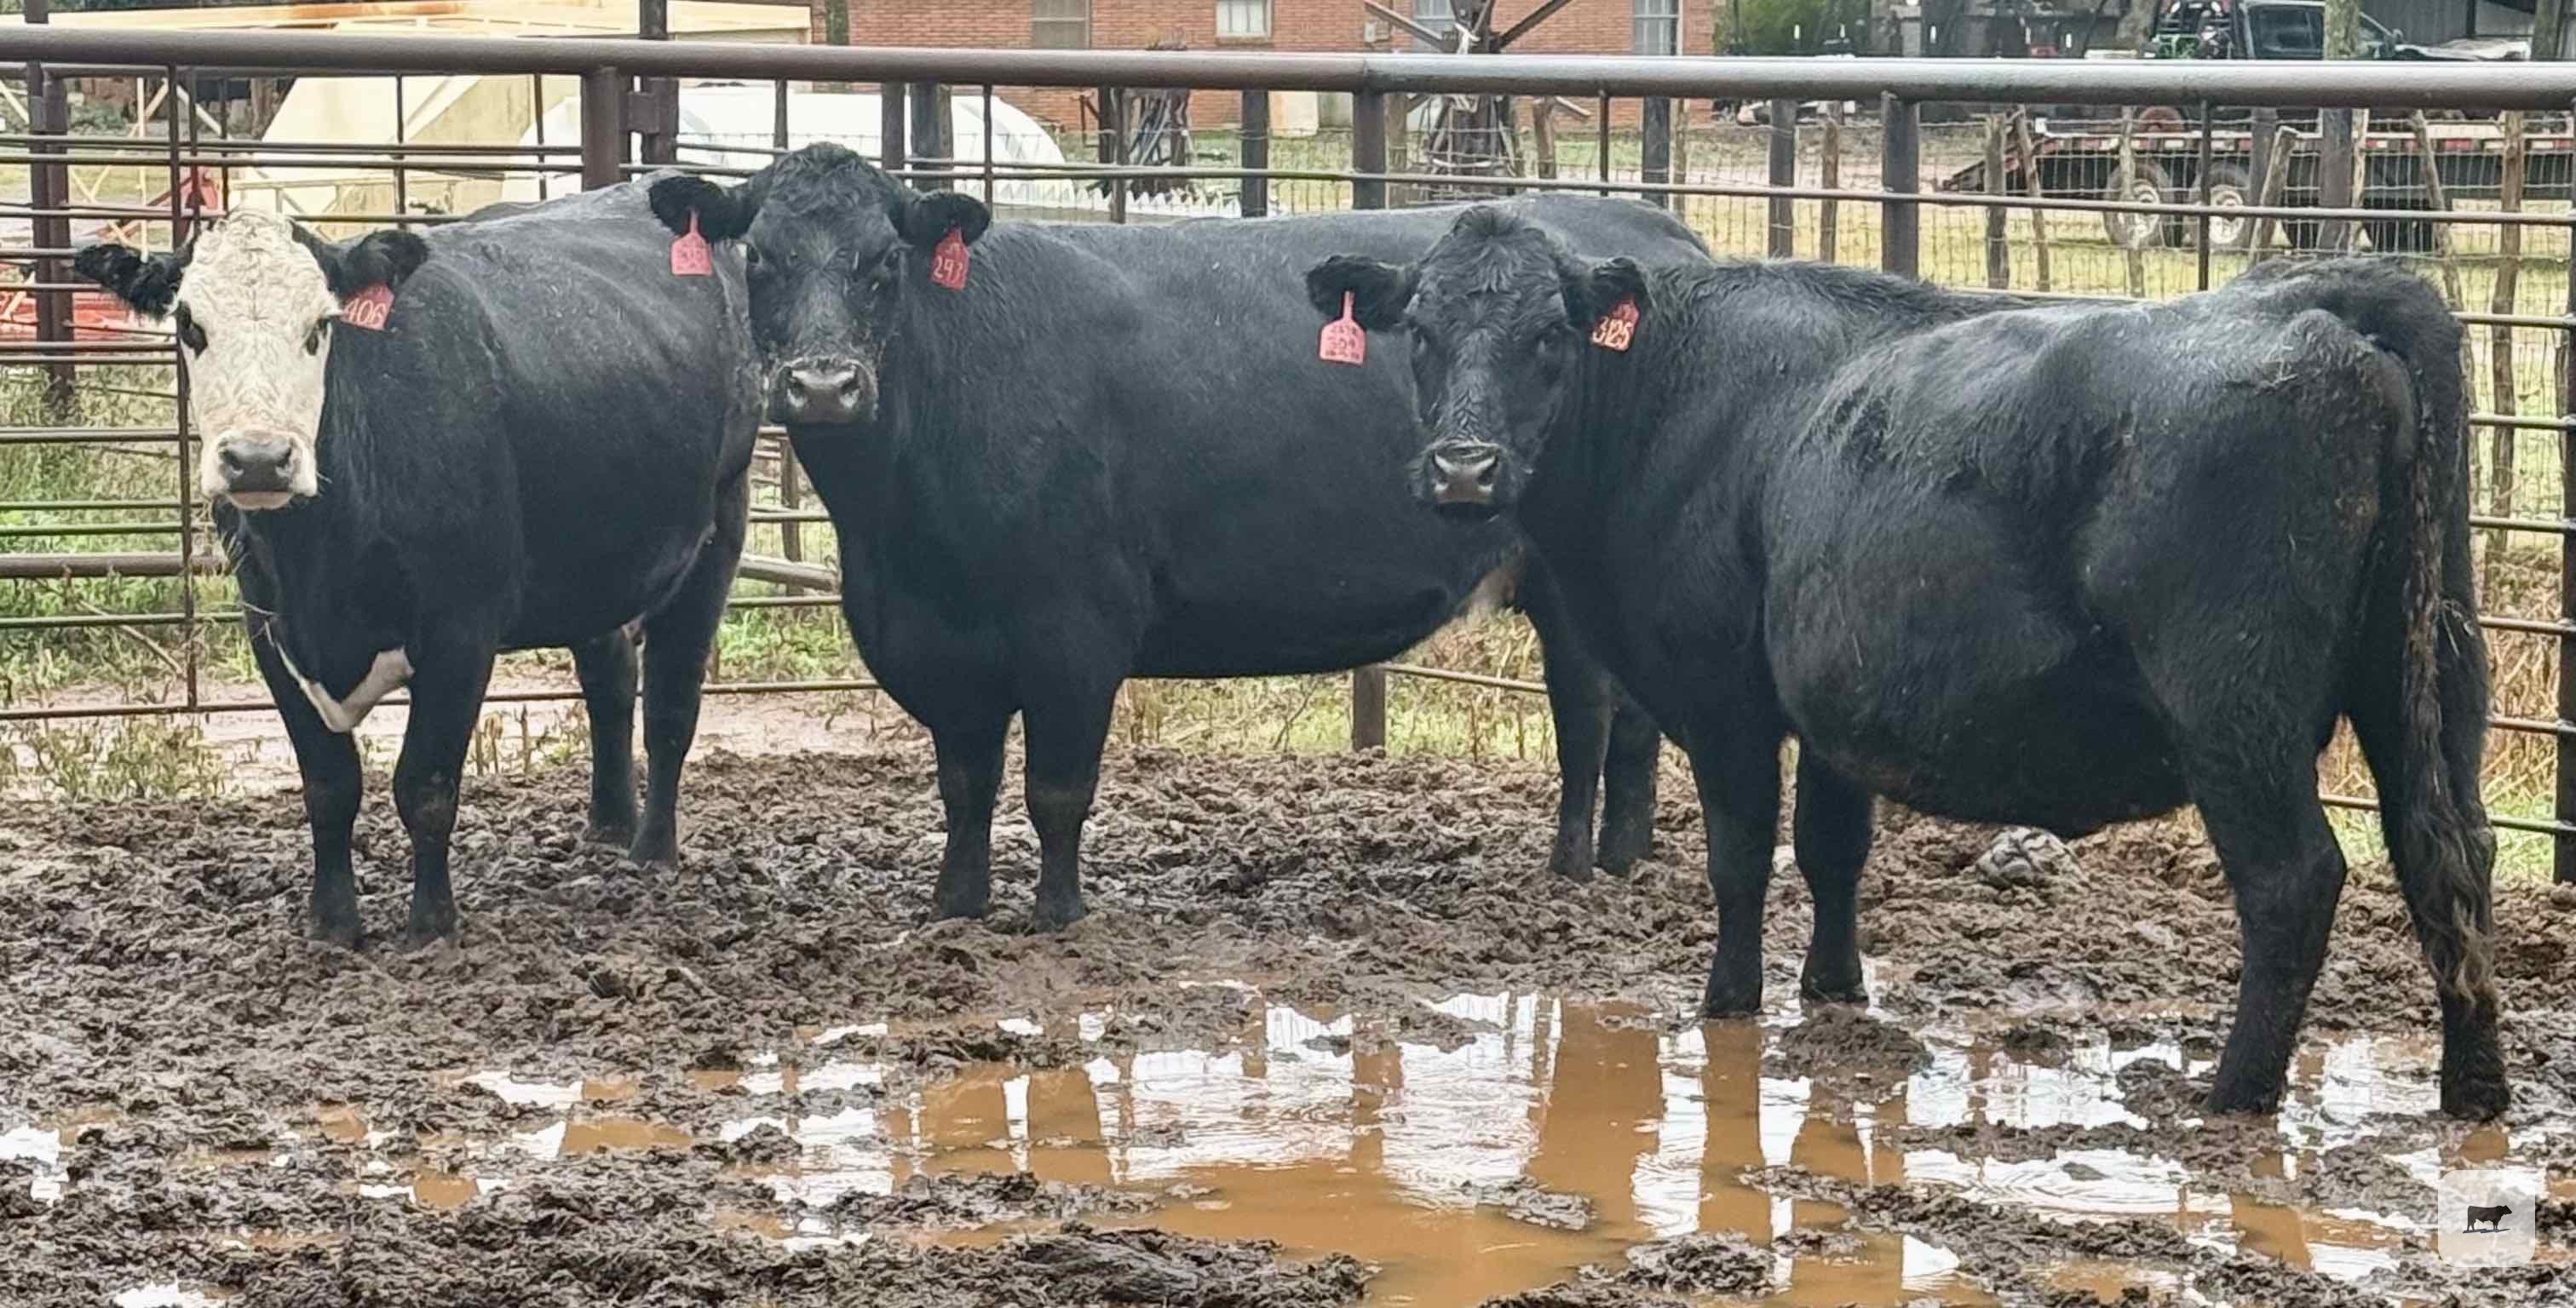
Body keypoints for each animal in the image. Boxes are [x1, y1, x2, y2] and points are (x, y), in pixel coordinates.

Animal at [72, 180, 759, 947]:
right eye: (191, 325)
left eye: (320, 327)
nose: (257, 458)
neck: (321, 557)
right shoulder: (269, 627)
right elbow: (329, 785)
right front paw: (332, 923)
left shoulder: (461, 630)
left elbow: (425, 785)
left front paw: (432, 925)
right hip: (594, 560)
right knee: (610, 679)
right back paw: (609, 827)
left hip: (717, 530)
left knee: (671, 703)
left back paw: (652, 851)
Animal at [643, 144, 1707, 928]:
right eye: (761, 259)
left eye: (883, 263)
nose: (823, 386)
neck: (899, 535)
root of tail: (1655, 227)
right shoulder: (934, 642)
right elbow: (965, 783)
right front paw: (955, 906)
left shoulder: (1076, 627)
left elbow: (1056, 789)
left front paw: (1059, 914)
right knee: (1632, 719)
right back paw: (1627, 856)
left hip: (1567, 586)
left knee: (1588, 716)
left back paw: (1574, 866)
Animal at [1307, 206, 2504, 1119]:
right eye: (1421, 332)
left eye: (1551, 336)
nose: (1464, 469)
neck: (1669, 404)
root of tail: (2321, 297)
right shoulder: (1834, 705)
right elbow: (1834, 851)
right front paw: (1835, 993)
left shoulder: (1728, 695)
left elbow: (1741, 858)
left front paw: (1728, 1003)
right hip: (2428, 684)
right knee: (2449, 855)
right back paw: (2474, 1092)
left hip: (2233, 707)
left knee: (2295, 880)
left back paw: (2236, 1096)